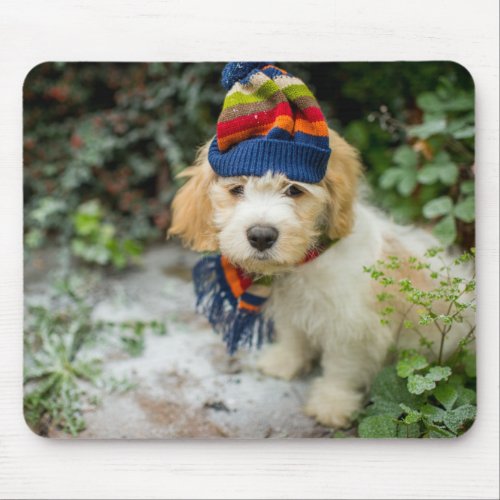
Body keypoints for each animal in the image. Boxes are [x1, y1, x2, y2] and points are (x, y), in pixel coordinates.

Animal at [170, 130, 470, 430]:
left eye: (294, 190)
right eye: (237, 190)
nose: (261, 236)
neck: (306, 261)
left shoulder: (352, 328)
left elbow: (342, 367)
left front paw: (331, 404)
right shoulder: (292, 309)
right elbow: (293, 336)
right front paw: (284, 362)